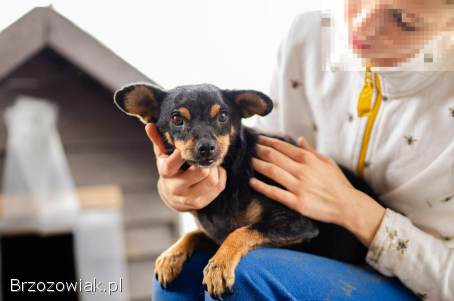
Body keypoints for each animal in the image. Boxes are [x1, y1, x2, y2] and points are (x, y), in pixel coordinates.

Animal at [113, 82, 376, 298]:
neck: (230, 176)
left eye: (223, 116)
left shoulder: (297, 224)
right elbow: (195, 233)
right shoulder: (214, 233)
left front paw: (219, 266)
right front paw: (171, 255)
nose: (206, 147)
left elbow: (241, 231)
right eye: (177, 119)